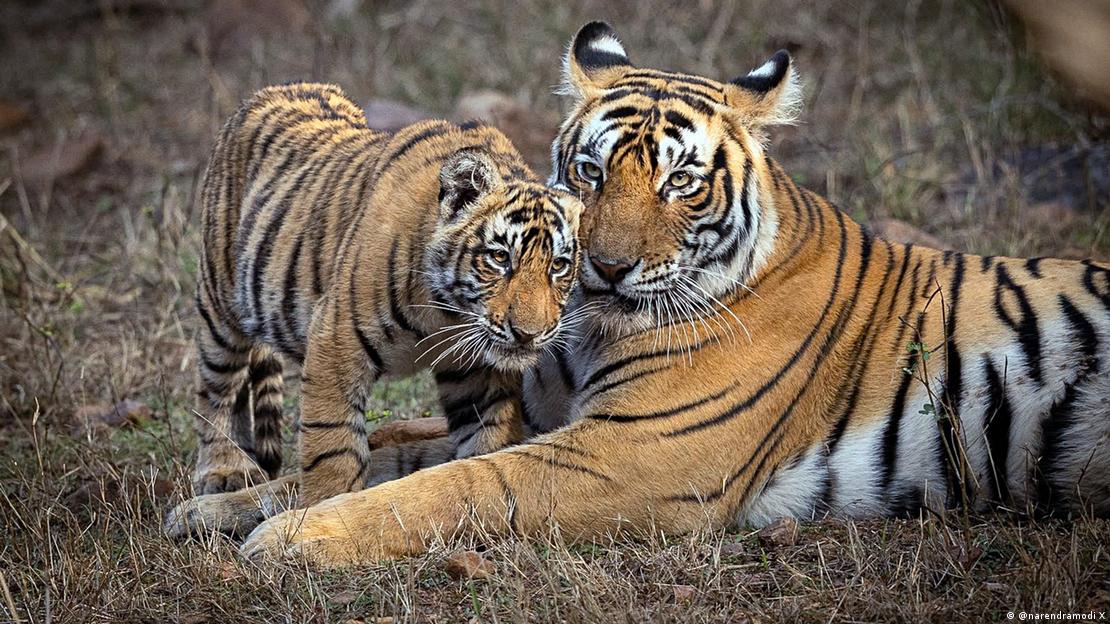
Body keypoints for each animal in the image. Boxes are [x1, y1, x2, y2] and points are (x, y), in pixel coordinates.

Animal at [186, 82, 584, 509]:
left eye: (559, 265)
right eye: (499, 258)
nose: (528, 335)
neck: (447, 313)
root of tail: (266, 92)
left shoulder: (476, 371)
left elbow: (485, 438)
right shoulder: (335, 341)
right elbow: (332, 447)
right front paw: (324, 508)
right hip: (220, 306)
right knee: (216, 389)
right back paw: (223, 470)